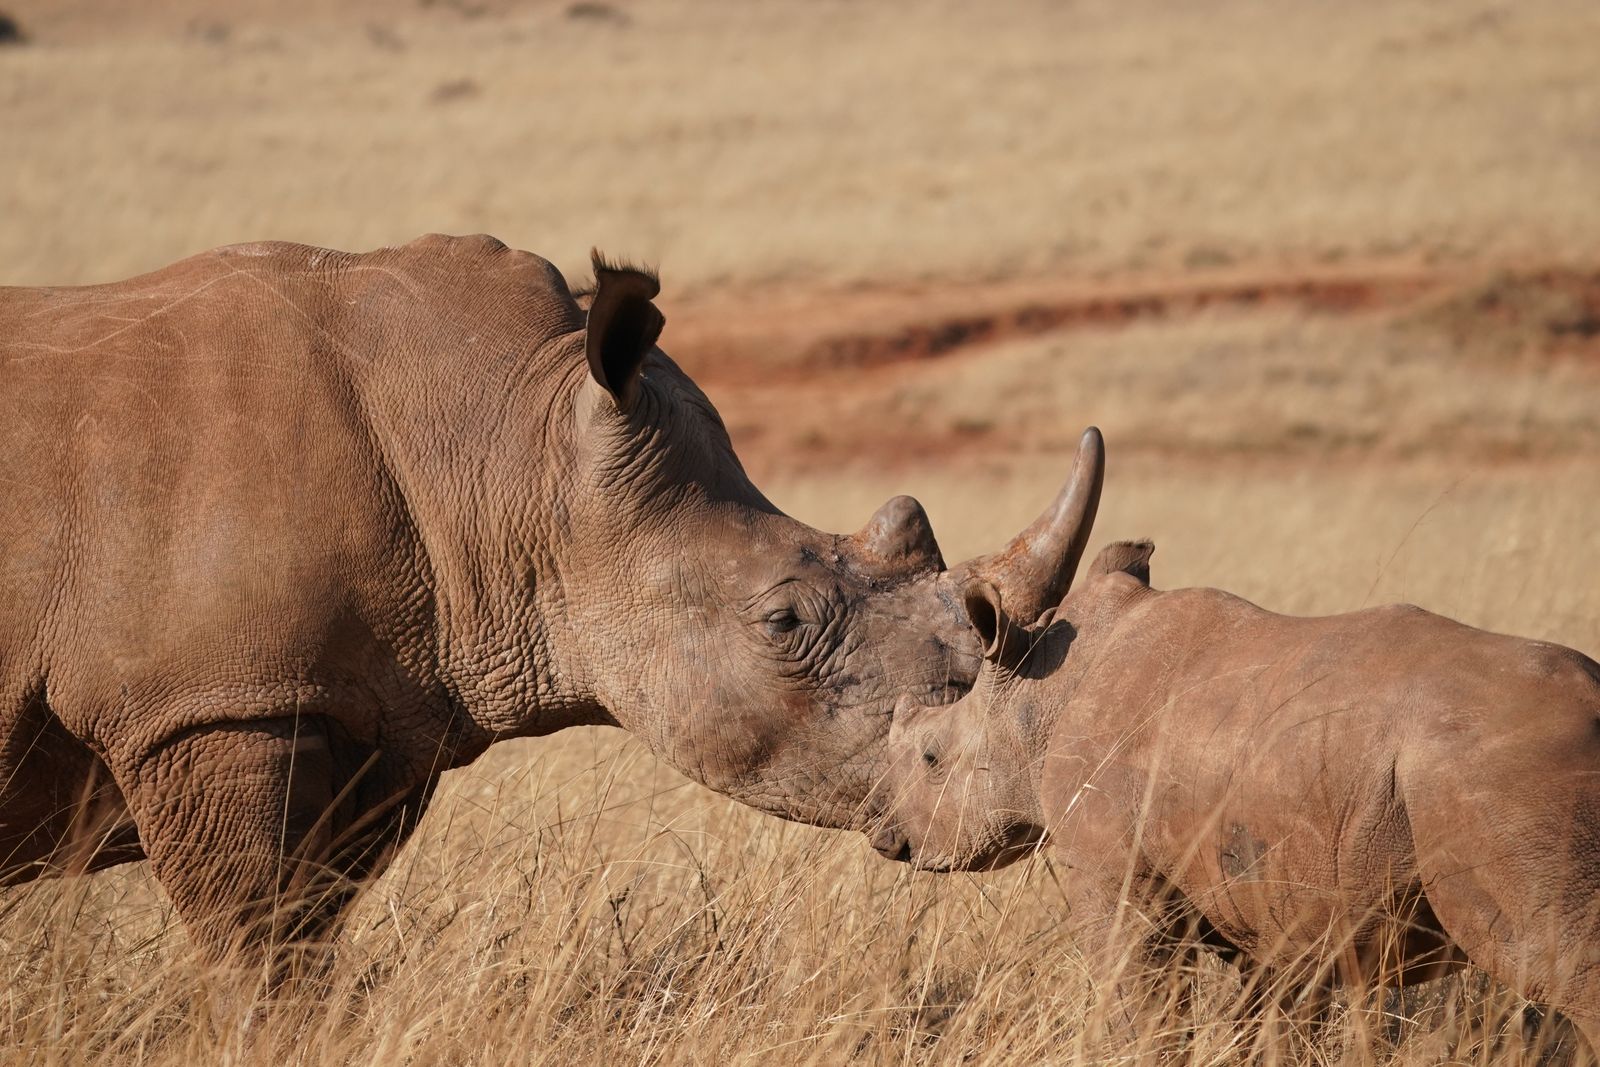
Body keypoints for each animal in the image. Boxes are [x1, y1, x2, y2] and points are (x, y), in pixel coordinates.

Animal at [0, 234, 1088, 958]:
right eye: (784, 620)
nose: (1003, 764)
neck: (510, 447)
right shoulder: (209, 702)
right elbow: (259, 947)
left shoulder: (363, 709)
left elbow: (307, 932)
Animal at [874, 428, 1600, 1052]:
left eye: (931, 757)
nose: (889, 841)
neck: (1039, 695)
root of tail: (1593, 704)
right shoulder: (1273, 902)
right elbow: (1265, 1022)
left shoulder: (1113, 873)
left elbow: (1142, 1008)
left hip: (1501, 778)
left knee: (1567, 968)